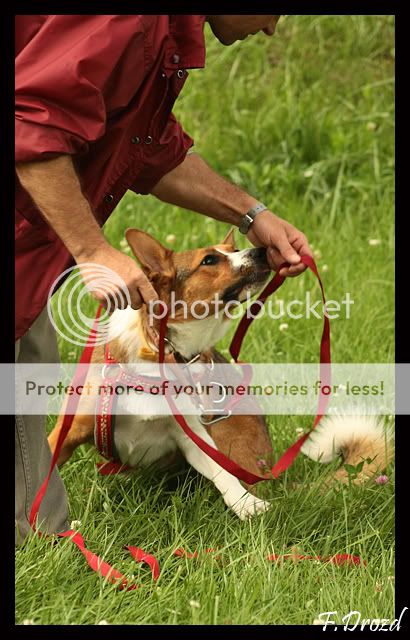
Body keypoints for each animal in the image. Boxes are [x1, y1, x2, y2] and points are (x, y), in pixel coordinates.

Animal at [48, 228, 393, 518]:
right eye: (210, 260)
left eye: (234, 249)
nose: (262, 251)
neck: (160, 355)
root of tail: (273, 475)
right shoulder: (68, 432)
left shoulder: (191, 435)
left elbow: (223, 473)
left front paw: (247, 505)